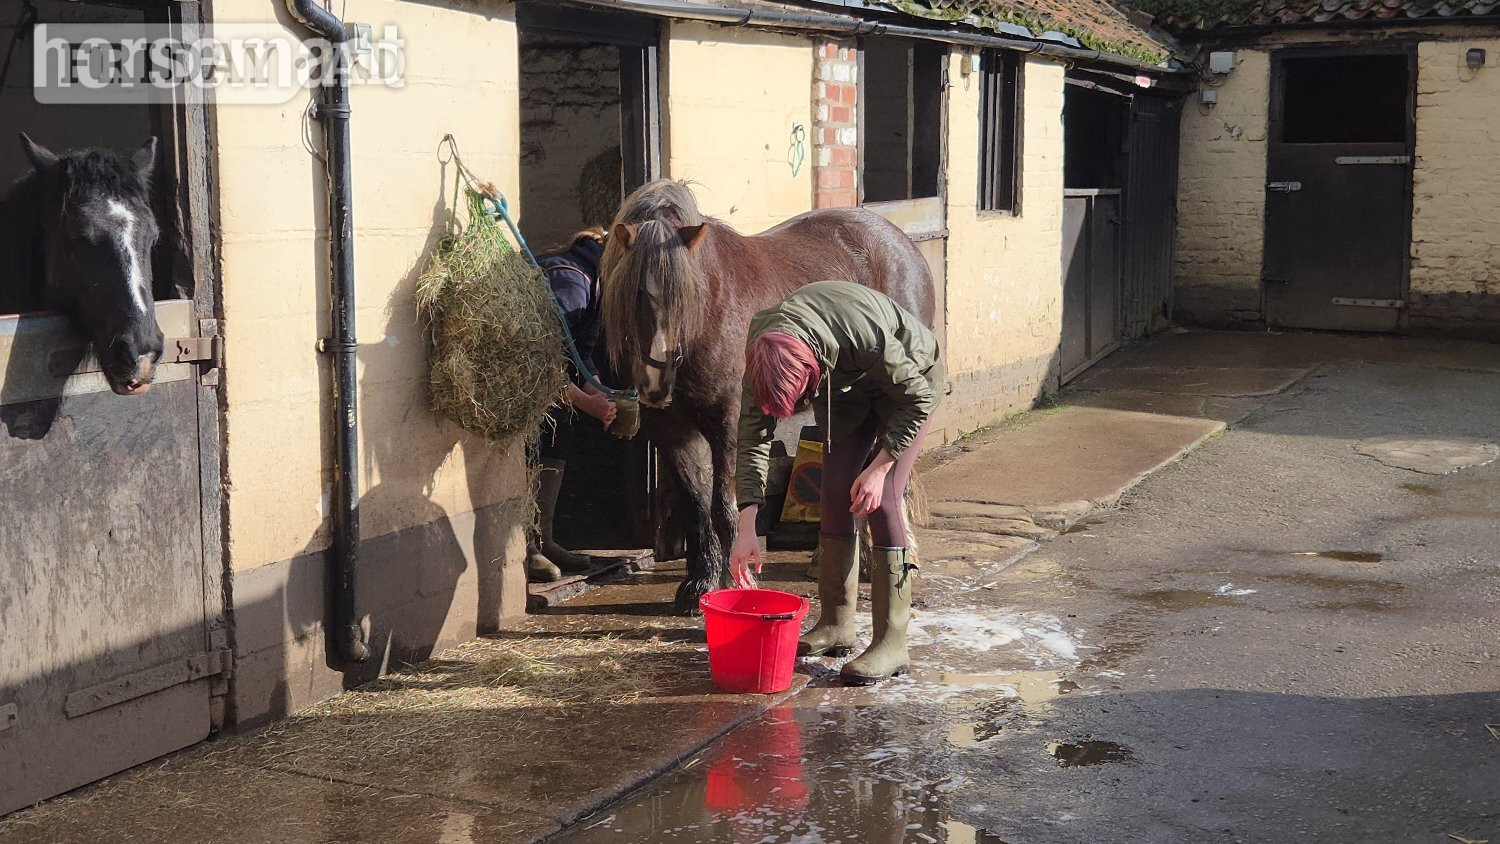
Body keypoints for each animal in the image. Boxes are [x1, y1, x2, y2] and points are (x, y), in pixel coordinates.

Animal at [600, 180, 936, 613]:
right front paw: (697, 584)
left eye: (685, 297)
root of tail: (902, 244)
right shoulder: (672, 431)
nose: (655, 385)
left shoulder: (728, 422)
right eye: (635, 296)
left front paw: (733, 581)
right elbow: (695, 505)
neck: (712, 311)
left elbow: (724, 506)